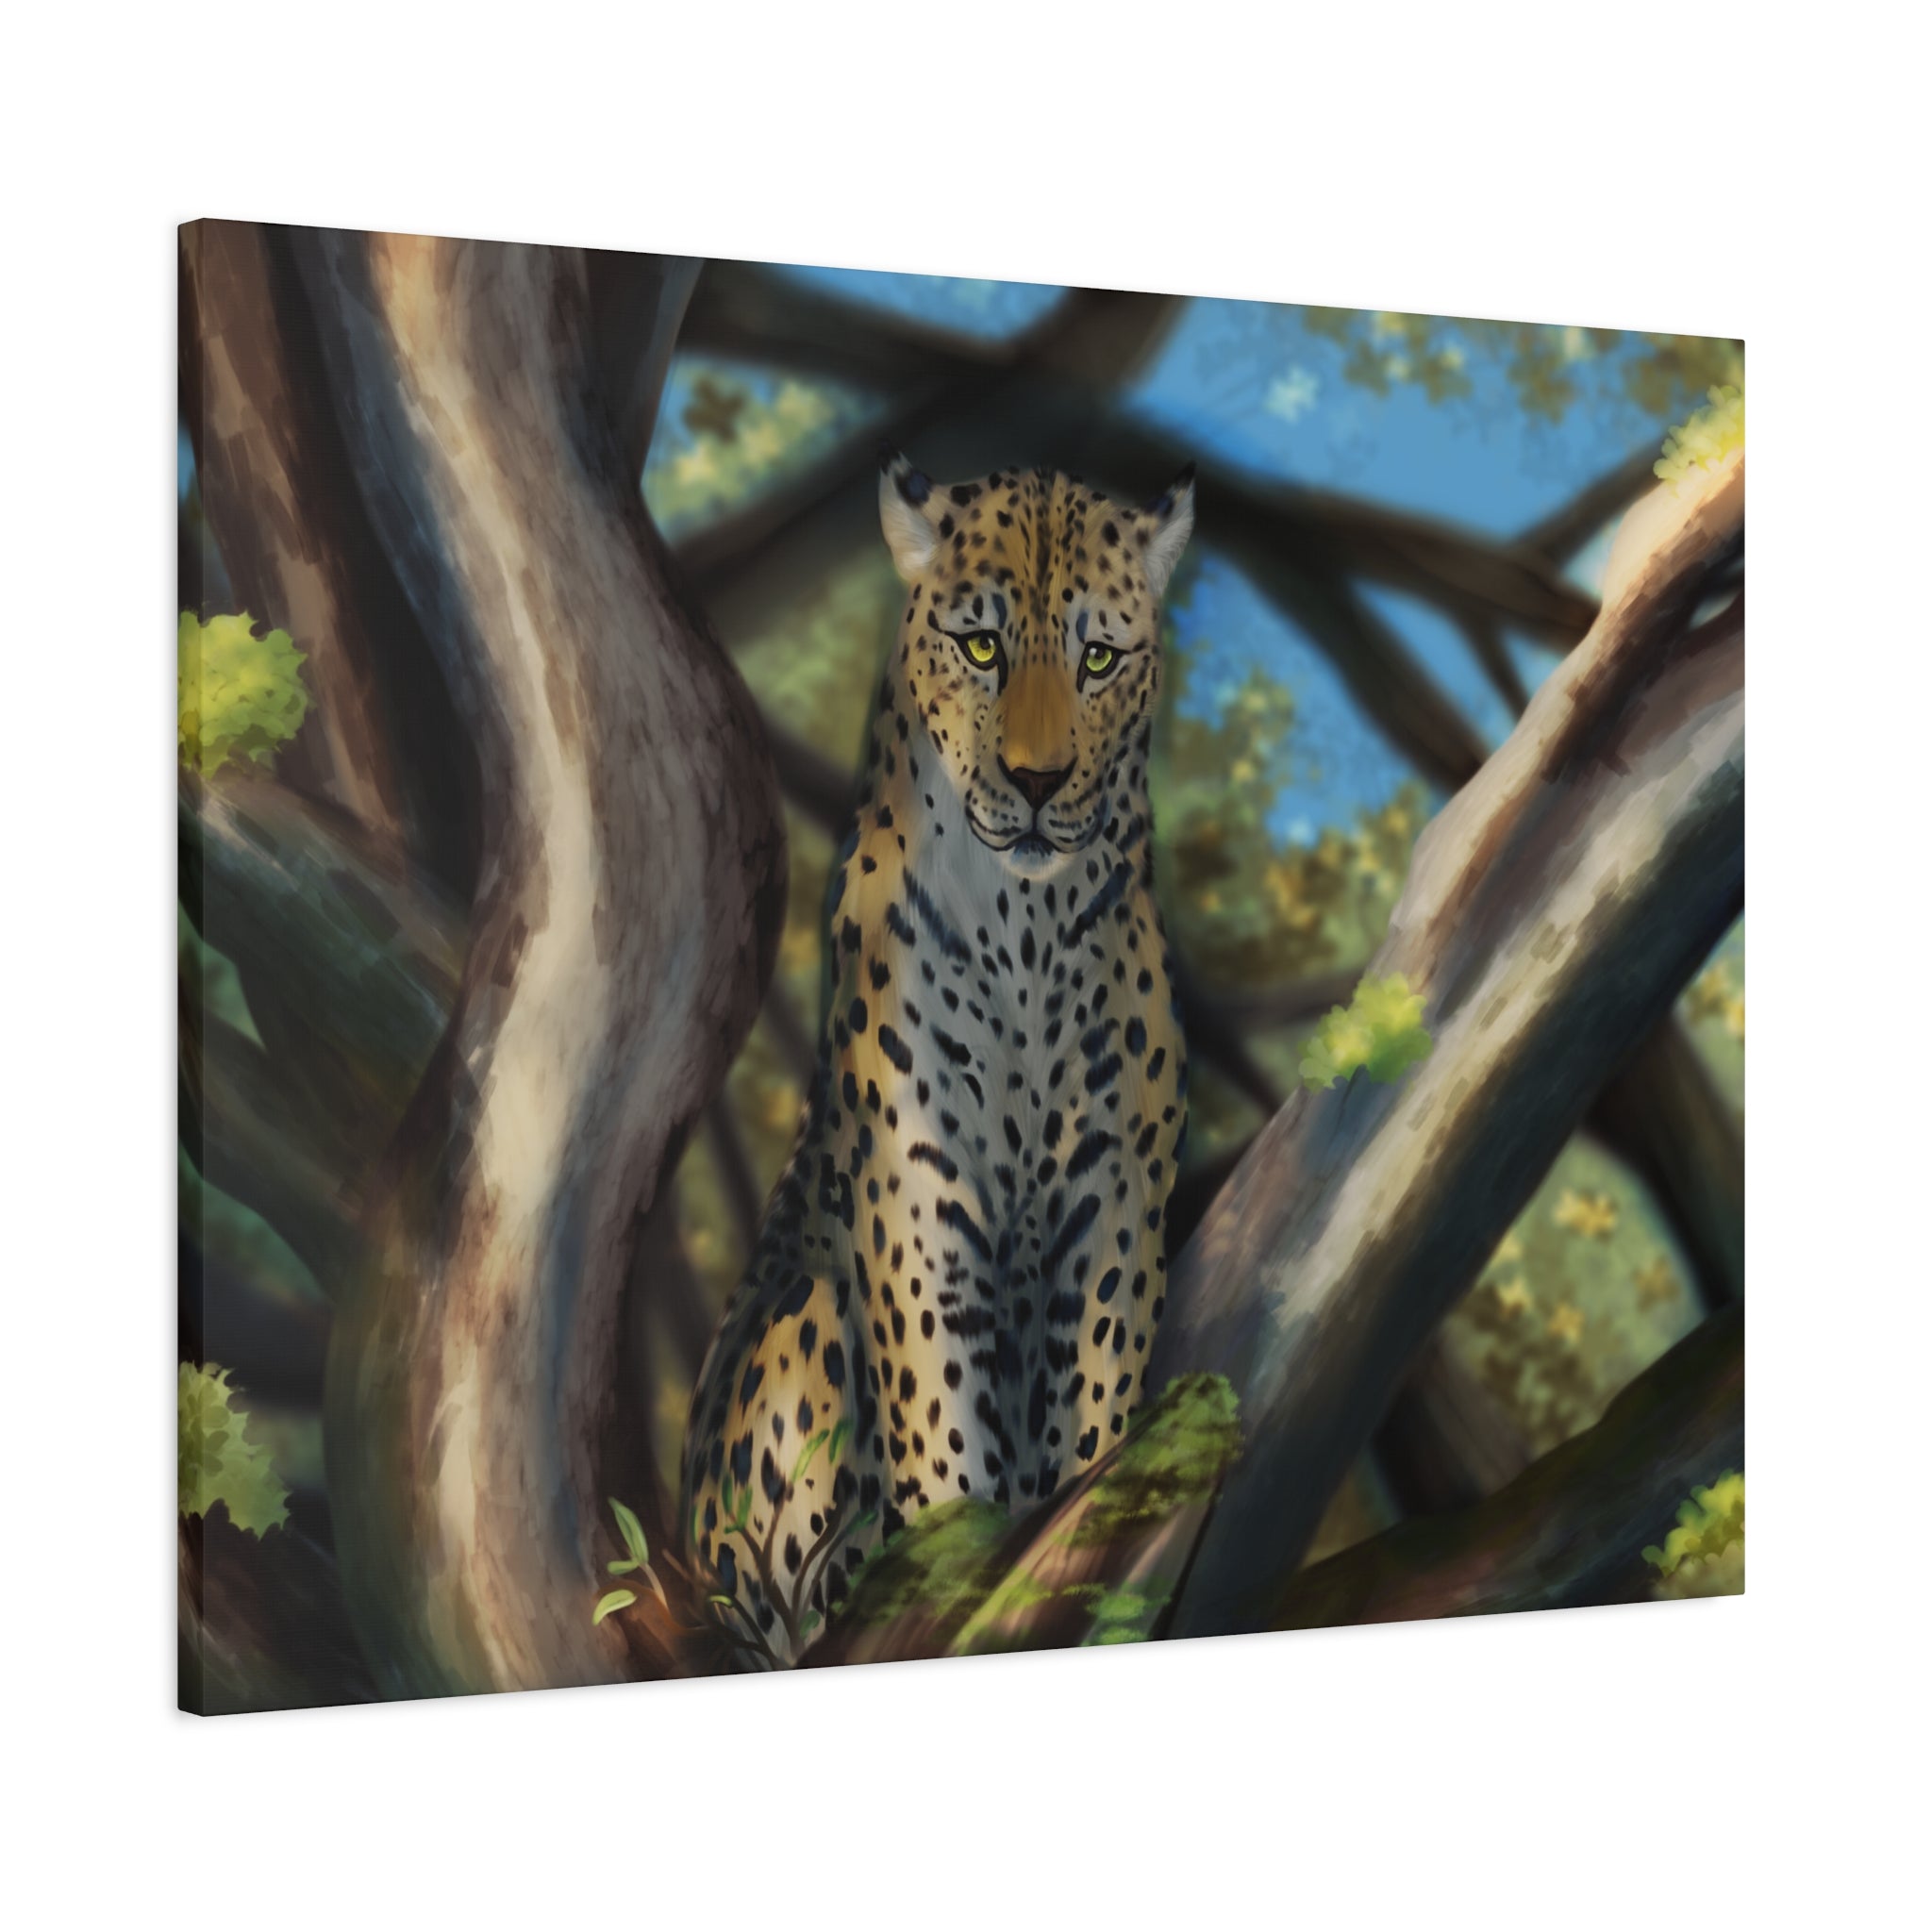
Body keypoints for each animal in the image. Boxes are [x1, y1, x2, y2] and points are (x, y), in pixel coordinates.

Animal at [678, 448, 1195, 1667]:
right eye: (981, 647)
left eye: (1097, 656)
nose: (1039, 779)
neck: (1025, 928)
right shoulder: (914, 1188)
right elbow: (936, 1407)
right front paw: (958, 1553)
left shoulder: (1114, 1189)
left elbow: (1097, 1388)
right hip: (801, 1329)